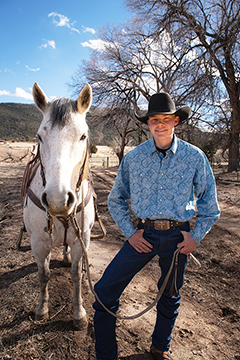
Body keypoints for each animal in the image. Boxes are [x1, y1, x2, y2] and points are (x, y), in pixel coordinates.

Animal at [23, 82, 94, 330]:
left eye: (83, 136)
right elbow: (43, 274)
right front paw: (41, 309)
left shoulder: (82, 239)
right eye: (39, 136)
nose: (57, 200)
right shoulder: (37, 241)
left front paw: (79, 314)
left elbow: (77, 275)